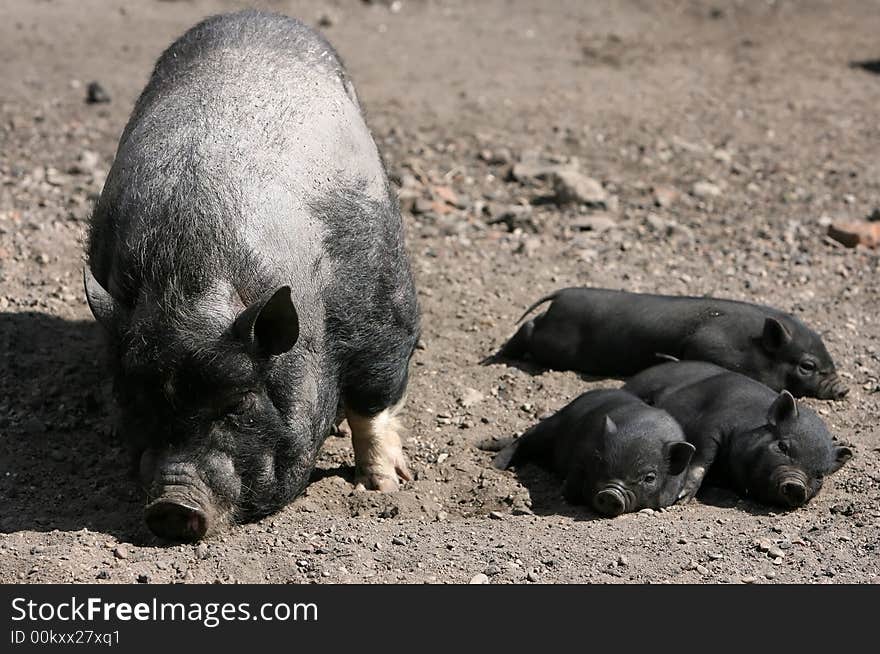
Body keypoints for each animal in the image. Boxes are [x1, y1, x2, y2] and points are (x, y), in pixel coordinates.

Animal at [84, 10, 422, 544]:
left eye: (238, 404)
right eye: (136, 402)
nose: (170, 505)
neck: (193, 281)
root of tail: (252, 14)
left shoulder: (383, 314)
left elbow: (374, 404)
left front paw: (383, 487)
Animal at [496, 290, 844, 402]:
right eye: (808, 366)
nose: (843, 388)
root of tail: (563, 294)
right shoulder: (706, 346)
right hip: (552, 345)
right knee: (528, 329)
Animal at [496, 390, 696, 516]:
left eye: (649, 478)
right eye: (600, 463)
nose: (611, 493)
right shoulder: (581, 454)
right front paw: (567, 495)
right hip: (552, 424)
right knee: (526, 438)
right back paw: (496, 465)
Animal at [624, 364, 848, 508]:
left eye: (820, 475)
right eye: (782, 446)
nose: (796, 485)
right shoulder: (714, 422)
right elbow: (702, 457)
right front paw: (682, 499)